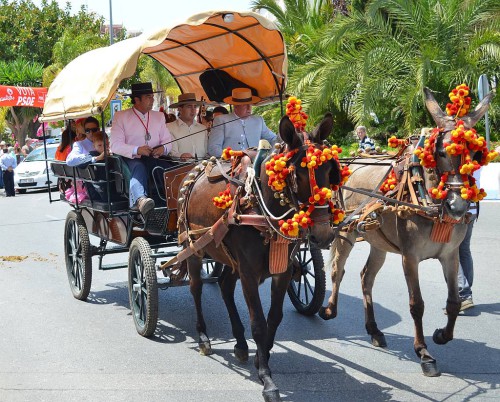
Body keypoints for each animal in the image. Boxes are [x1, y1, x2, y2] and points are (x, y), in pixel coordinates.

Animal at [178, 114, 342, 400]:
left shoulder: (283, 270)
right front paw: (267, 380)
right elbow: (258, 323)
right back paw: (203, 337)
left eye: (329, 171)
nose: (323, 235)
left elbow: (274, 318)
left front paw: (260, 357)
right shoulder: (249, 273)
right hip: (195, 248)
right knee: (196, 288)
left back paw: (241, 344)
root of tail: (196, 169)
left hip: (227, 257)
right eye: (297, 174)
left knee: (224, 287)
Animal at [320, 88, 492, 376]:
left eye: (476, 155)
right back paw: (329, 310)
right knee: (336, 270)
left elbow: (454, 302)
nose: (457, 206)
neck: (427, 198)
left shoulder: (450, 255)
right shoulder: (409, 257)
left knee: (366, 277)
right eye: (440, 151)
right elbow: (416, 304)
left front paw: (441, 335)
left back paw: (374, 330)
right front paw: (424, 353)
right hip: (345, 233)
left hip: (377, 241)